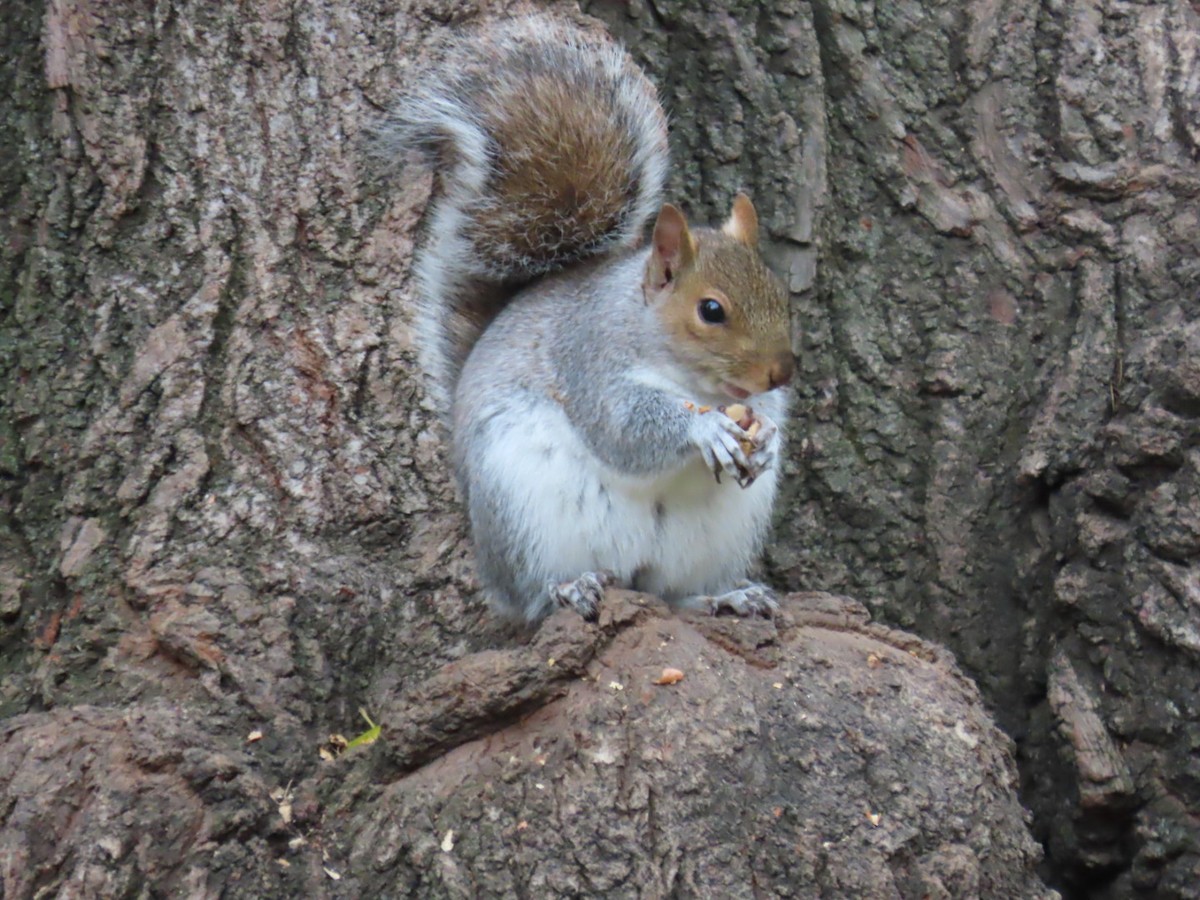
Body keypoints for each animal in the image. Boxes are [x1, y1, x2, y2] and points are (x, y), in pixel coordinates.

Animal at [384, 15, 794, 623]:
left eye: (781, 295)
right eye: (712, 310)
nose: (781, 373)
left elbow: (761, 415)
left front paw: (763, 435)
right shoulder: (589, 358)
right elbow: (622, 428)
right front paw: (705, 429)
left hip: (716, 537)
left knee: (674, 592)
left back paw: (727, 595)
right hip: (525, 513)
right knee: (531, 598)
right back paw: (568, 588)